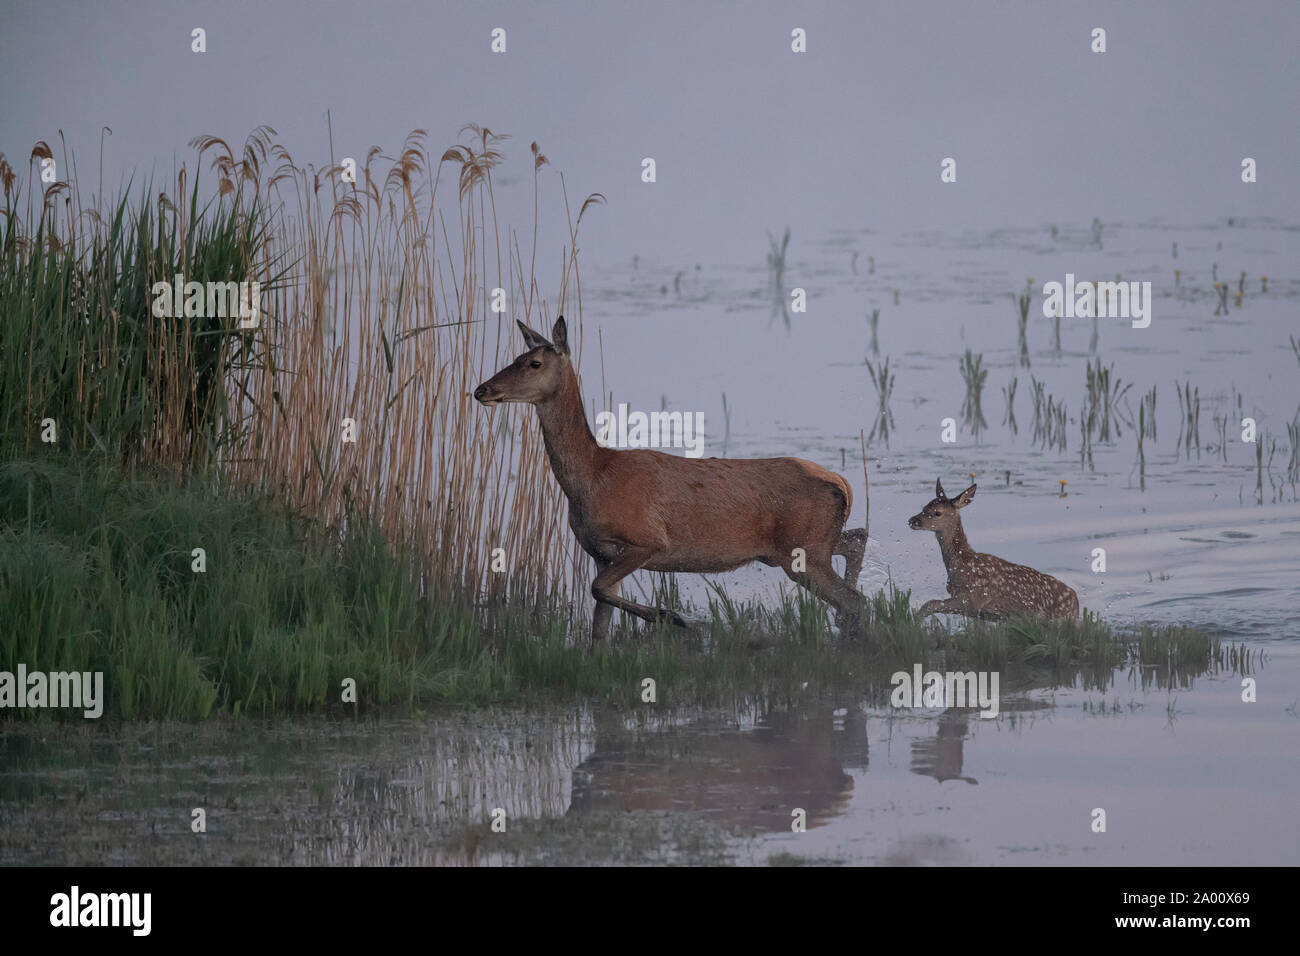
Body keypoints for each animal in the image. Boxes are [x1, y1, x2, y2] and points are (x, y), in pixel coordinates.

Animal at [473, 316, 869, 643]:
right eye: (515, 357)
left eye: (534, 363)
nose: (482, 390)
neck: (593, 478)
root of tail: (842, 482)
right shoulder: (599, 553)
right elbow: (599, 622)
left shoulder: (647, 540)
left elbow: (599, 590)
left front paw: (676, 618)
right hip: (809, 544)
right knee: (857, 542)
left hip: (801, 550)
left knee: (855, 600)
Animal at [907, 478, 1079, 621]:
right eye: (924, 507)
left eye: (937, 512)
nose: (912, 520)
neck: (962, 564)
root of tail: (1076, 602)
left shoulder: (972, 600)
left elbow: (931, 603)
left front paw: (914, 622)